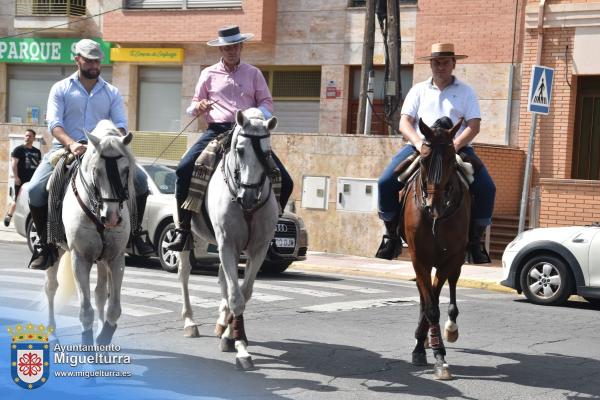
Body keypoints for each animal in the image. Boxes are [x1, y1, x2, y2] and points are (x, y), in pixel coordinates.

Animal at [44, 120, 136, 346]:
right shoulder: (80, 259)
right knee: (51, 287)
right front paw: (89, 344)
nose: (111, 217)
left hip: (102, 260)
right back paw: (52, 333)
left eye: (126, 169)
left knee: (100, 293)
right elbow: (85, 311)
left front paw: (104, 335)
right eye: (96, 171)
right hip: (54, 252)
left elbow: (114, 308)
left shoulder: (116, 258)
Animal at [400, 116, 472, 382]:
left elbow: (436, 297)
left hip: (456, 260)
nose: (434, 205)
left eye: (452, 159)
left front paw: (437, 351)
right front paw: (429, 351)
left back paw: (450, 328)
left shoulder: (450, 258)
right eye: (423, 159)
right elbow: (430, 306)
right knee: (426, 296)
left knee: (449, 288)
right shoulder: (418, 257)